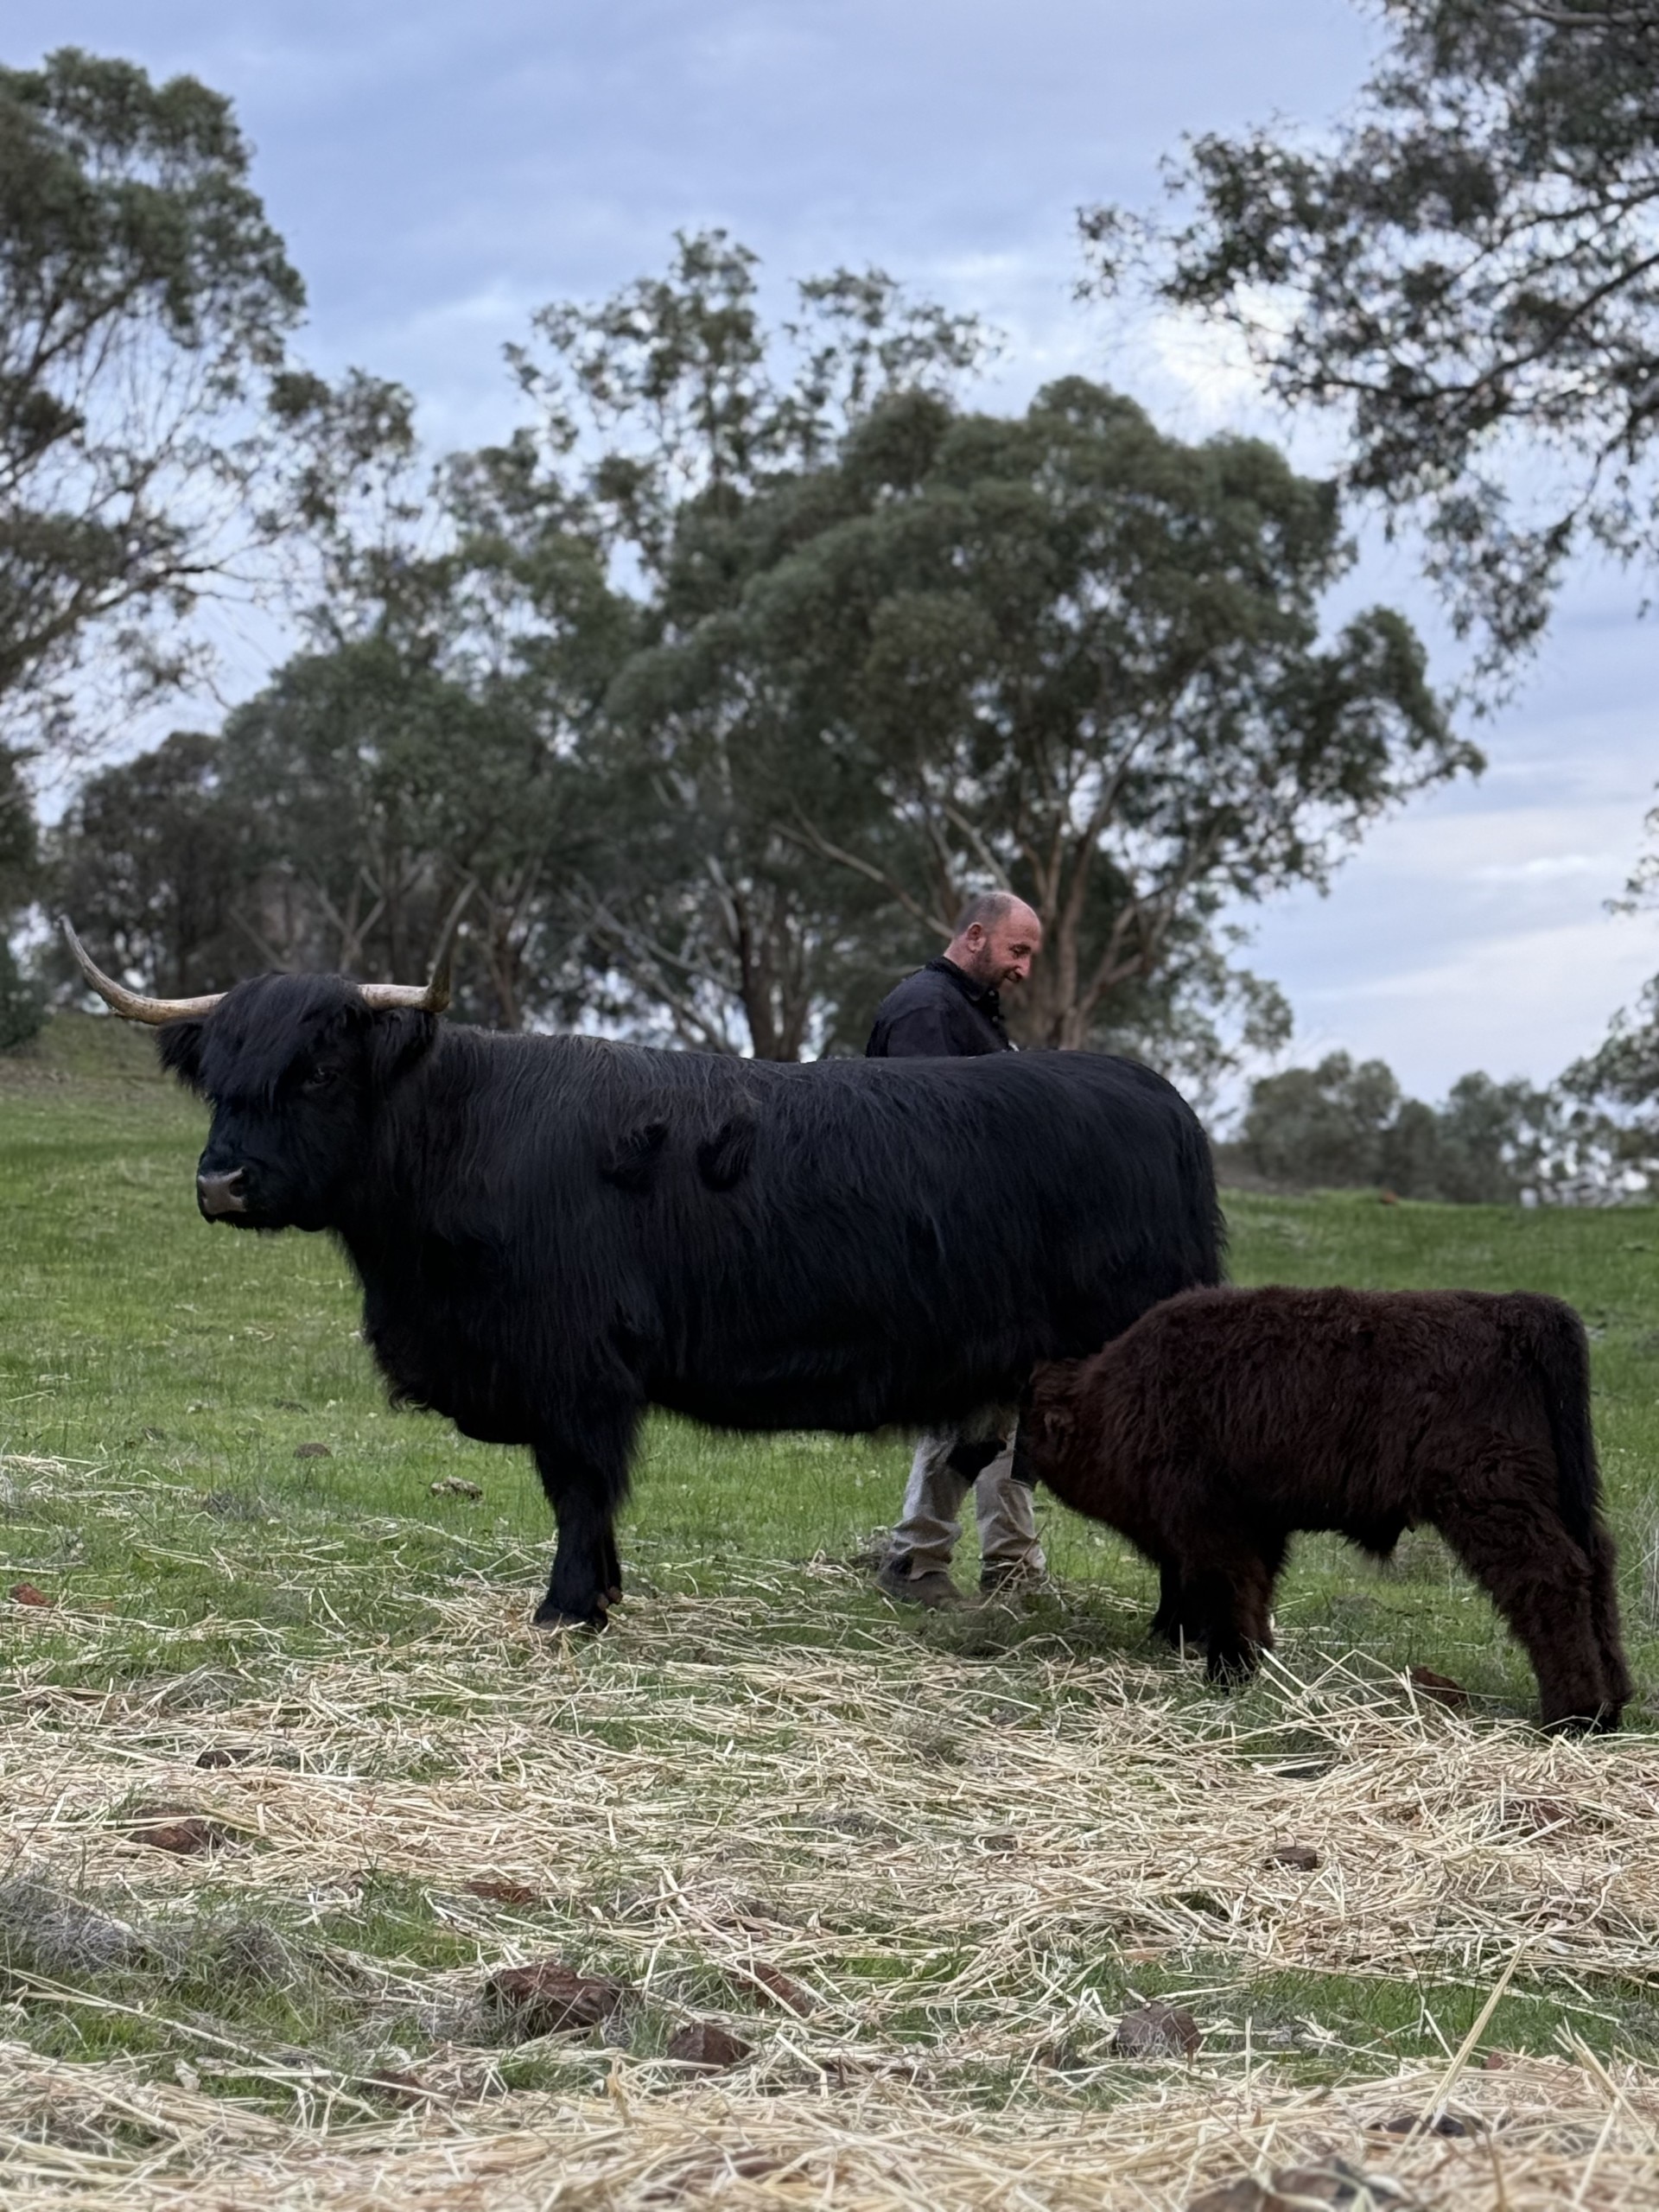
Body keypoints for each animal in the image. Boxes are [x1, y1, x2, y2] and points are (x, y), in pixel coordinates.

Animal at [63, 921, 1222, 1631]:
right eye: (220, 1077)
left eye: (317, 1069)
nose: (222, 1181)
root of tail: (1155, 1096)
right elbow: (580, 1495)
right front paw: (603, 1597)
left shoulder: (576, 1366)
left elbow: (579, 1487)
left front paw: (568, 1608)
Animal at [1016, 1285, 1632, 1732]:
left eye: (1035, 1422)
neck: (1116, 1397)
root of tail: (1516, 1312)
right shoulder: (1260, 1523)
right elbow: (1257, 1592)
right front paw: (1255, 1663)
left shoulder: (1213, 1524)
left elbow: (1229, 1590)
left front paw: (1228, 1672)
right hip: (1559, 1499)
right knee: (1597, 1567)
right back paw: (1614, 1703)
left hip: (1488, 1499)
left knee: (1551, 1576)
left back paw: (1573, 1716)